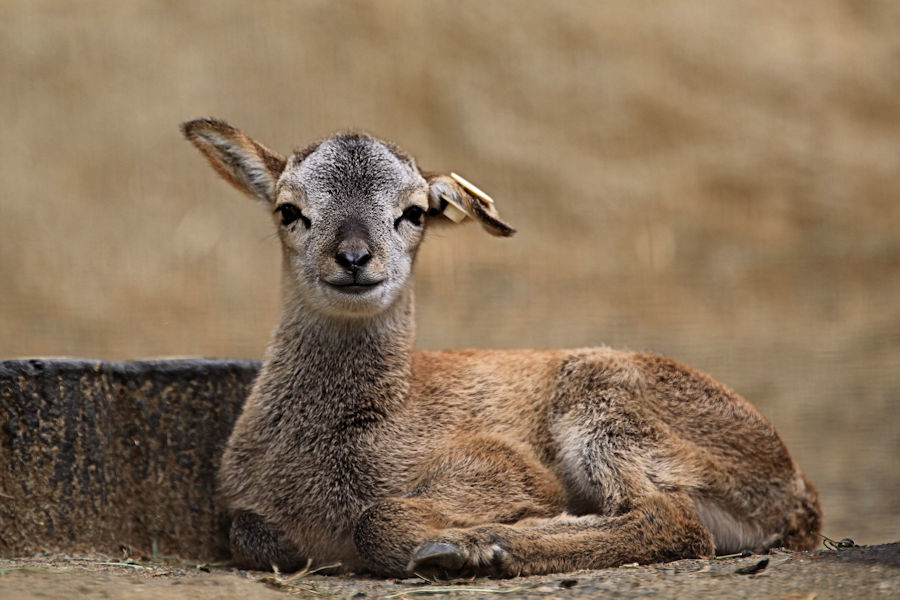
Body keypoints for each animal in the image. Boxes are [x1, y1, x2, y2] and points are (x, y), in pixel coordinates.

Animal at [181, 119, 824, 580]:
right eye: (289, 210)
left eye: (414, 212)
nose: (355, 258)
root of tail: (796, 490)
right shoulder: (248, 512)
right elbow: (250, 535)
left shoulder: (498, 463)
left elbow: (378, 518)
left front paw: (462, 541)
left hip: (608, 407)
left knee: (674, 520)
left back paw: (486, 546)